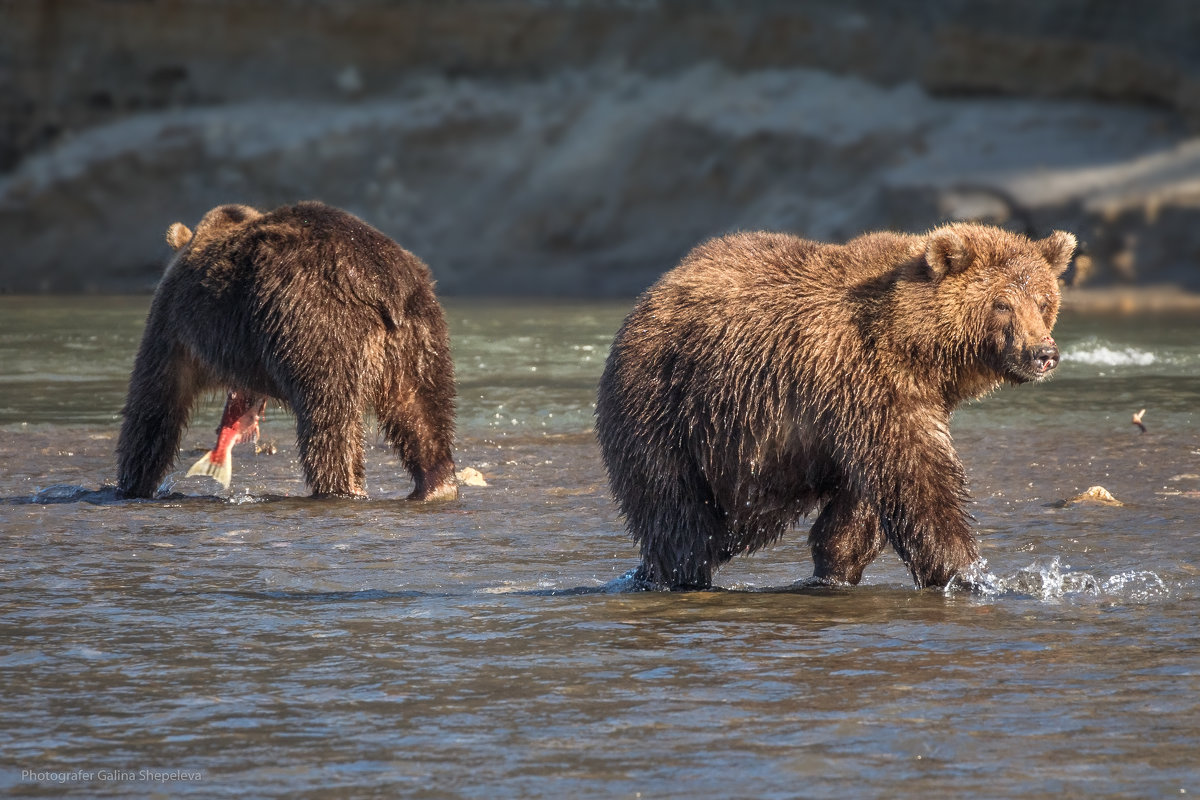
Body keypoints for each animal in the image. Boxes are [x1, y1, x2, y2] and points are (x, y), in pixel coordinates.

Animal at [117, 200, 456, 503]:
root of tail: (381, 286)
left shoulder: (176, 324)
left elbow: (156, 402)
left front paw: (132, 483)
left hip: (318, 326)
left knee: (329, 422)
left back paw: (340, 488)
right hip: (421, 338)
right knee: (423, 412)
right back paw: (435, 485)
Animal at [600, 221, 1080, 592]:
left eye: (1043, 301)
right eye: (1002, 304)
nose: (1043, 353)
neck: (915, 347)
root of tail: (647, 300)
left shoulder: (885, 404)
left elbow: (861, 508)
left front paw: (835, 569)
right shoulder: (863, 381)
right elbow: (919, 483)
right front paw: (968, 575)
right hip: (670, 409)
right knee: (678, 516)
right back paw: (676, 572)